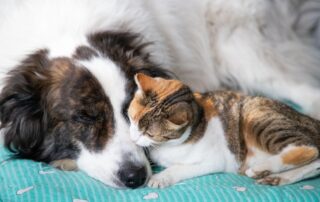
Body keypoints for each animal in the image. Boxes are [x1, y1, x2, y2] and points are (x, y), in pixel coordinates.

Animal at [127, 73, 320, 189]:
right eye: (132, 119)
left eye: (149, 134)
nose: (133, 139)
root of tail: (310, 120)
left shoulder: (214, 160)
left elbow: (179, 168)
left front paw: (161, 177)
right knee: (315, 163)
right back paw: (278, 177)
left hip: (258, 118)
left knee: (309, 149)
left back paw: (261, 168)